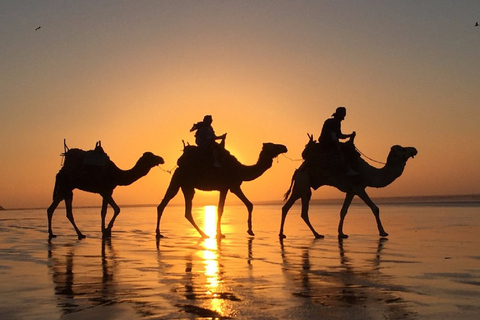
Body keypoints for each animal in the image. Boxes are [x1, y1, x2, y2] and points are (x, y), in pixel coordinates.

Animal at [156, 142, 286, 238]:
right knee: (167, 204)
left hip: (185, 185)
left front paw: (250, 231)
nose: (284, 147)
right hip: (179, 180)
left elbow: (249, 204)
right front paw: (220, 233)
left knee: (180, 209)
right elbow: (220, 209)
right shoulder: (225, 187)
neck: (240, 170)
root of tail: (179, 164)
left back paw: (202, 234)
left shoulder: (234, 187)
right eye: (273, 145)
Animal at [280, 136, 418, 239]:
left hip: (302, 188)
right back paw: (308, 234)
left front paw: (341, 233)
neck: (368, 173)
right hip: (303, 185)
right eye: (402, 149)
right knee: (296, 209)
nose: (414, 149)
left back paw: (302, 234)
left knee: (293, 209)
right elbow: (375, 208)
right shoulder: (359, 188)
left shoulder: (351, 191)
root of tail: (297, 171)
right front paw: (383, 232)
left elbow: (343, 211)